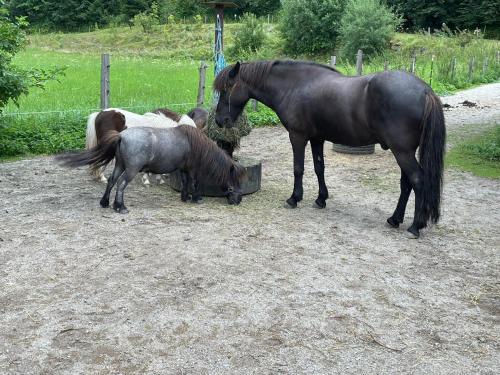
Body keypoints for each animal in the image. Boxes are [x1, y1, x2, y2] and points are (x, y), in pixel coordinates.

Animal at [57, 110, 245, 213]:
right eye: (232, 185)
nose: (238, 201)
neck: (193, 142)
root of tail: (121, 136)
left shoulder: (183, 168)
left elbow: (185, 182)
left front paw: (184, 197)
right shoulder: (192, 169)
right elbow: (194, 182)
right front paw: (196, 198)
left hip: (120, 165)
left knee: (112, 181)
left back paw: (105, 202)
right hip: (130, 170)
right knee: (120, 183)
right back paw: (120, 207)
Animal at [214, 61, 446, 238]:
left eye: (226, 89)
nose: (219, 121)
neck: (294, 85)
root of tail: (425, 90)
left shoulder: (297, 136)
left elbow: (298, 168)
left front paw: (294, 198)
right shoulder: (317, 139)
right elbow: (319, 168)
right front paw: (320, 199)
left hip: (402, 152)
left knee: (417, 180)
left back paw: (415, 226)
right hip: (404, 152)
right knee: (406, 184)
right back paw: (395, 219)